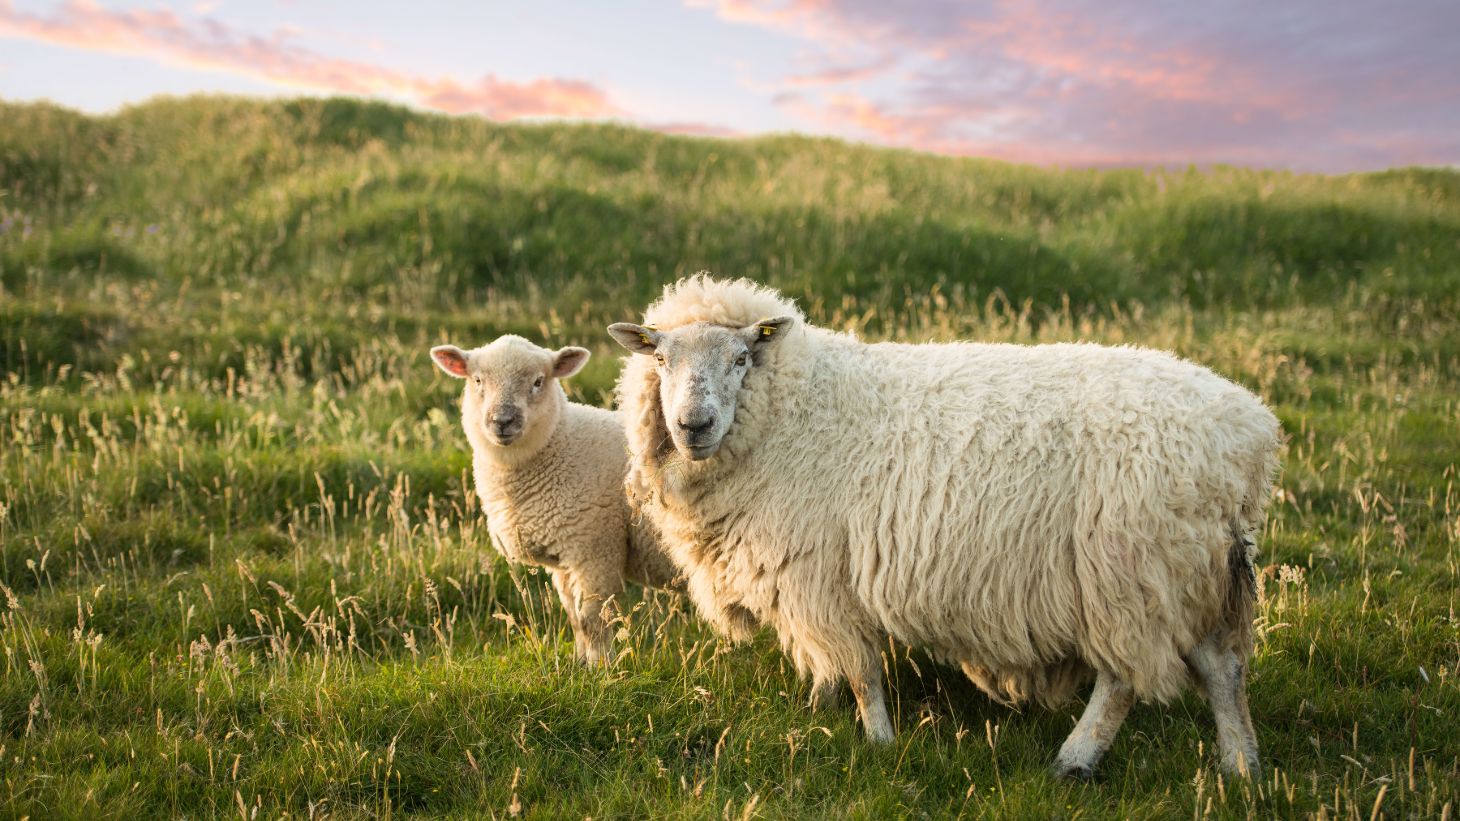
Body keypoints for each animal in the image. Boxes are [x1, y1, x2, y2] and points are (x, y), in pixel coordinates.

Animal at [430, 335, 680, 665]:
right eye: (477, 380)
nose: (502, 421)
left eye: (538, 381)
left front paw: (601, 667)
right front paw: (580, 663)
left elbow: (592, 618)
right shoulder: (562, 558)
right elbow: (574, 617)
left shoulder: (596, 549)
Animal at [608, 274, 1282, 778]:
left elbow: (860, 669)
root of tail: (1249, 434)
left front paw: (878, 742)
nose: (693, 425)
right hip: (1190, 566)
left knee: (1122, 679)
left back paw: (1076, 761)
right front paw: (817, 710)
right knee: (1223, 665)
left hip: (1128, 564)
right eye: (661, 359)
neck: (793, 412)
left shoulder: (821, 574)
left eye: (742, 358)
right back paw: (1240, 766)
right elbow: (832, 664)